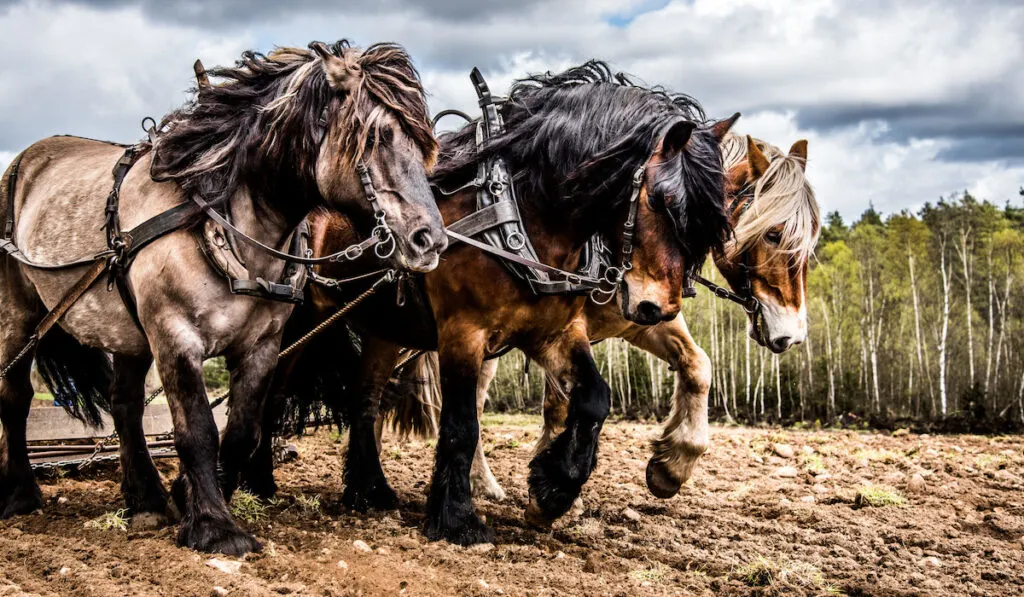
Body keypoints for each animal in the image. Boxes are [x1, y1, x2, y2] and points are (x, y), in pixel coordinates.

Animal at [1, 40, 448, 557]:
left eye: (424, 145)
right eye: (376, 136)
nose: (431, 241)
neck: (222, 225)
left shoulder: (263, 344)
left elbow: (239, 433)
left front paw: (190, 495)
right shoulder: (175, 336)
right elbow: (196, 430)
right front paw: (215, 527)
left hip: (130, 333)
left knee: (125, 404)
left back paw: (146, 500)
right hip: (19, 314)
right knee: (15, 394)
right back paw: (21, 494)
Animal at [239, 61, 737, 544]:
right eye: (660, 201)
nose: (661, 309)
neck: (520, 211)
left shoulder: (553, 331)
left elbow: (595, 398)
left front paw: (552, 491)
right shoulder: (463, 331)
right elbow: (462, 424)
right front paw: (458, 519)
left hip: (386, 327)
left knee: (366, 399)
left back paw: (371, 491)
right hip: (303, 319)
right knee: (274, 389)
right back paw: (259, 481)